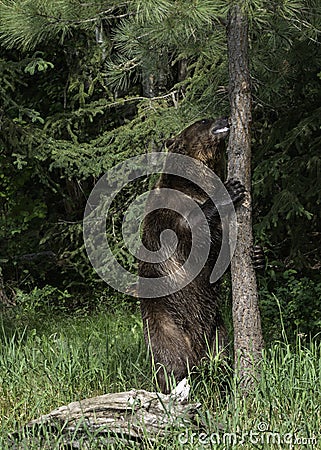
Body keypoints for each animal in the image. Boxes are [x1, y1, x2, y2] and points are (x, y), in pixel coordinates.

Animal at [136, 117, 244, 394]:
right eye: (203, 120)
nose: (224, 118)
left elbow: (218, 256)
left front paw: (258, 256)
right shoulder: (167, 213)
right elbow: (189, 233)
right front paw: (232, 189)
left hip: (216, 327)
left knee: (221, 350)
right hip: (165, 319)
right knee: (170, 357)